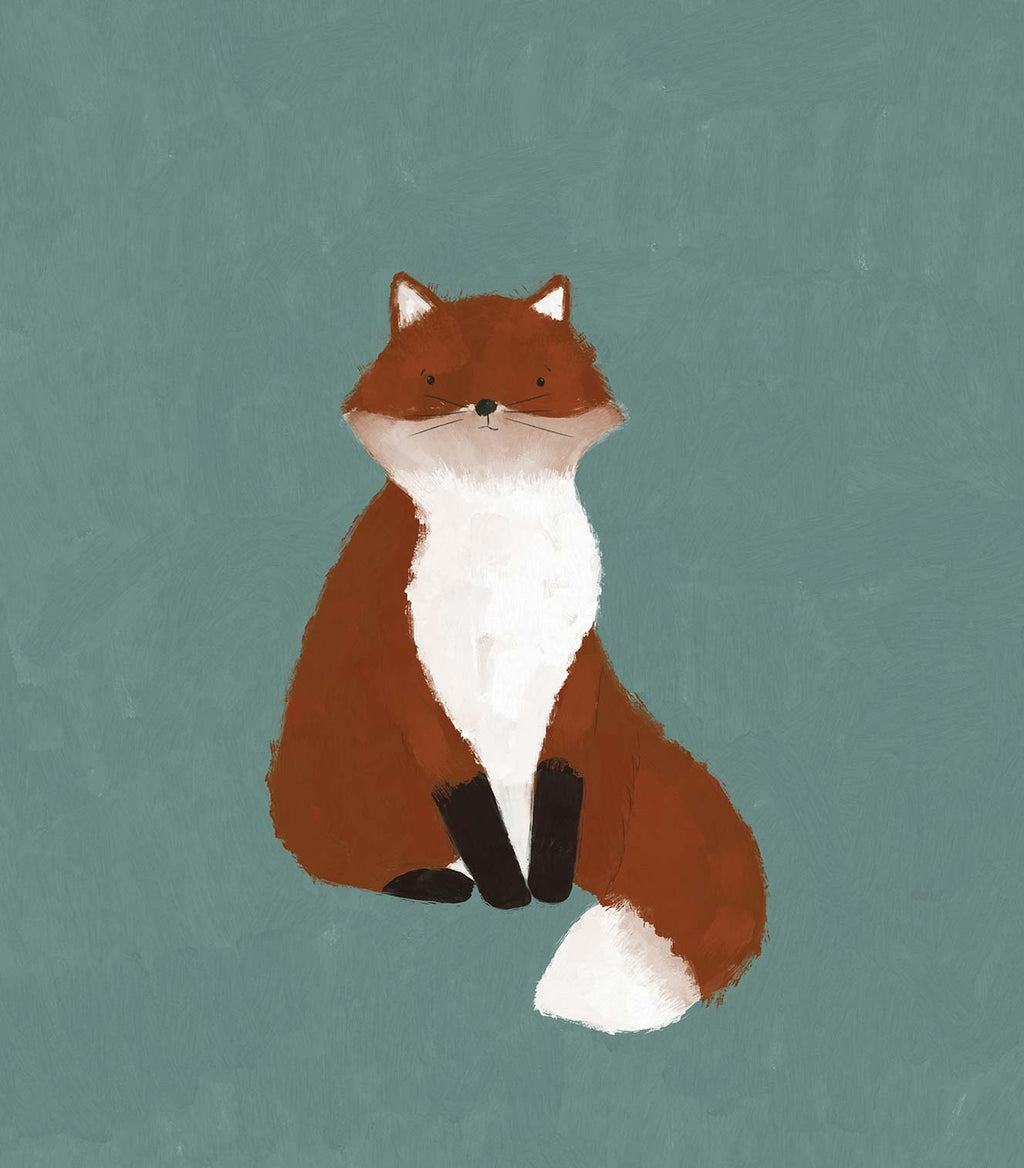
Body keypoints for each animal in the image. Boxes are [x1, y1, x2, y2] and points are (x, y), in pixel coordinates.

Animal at [266, 272, 767, 1033]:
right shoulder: (407, 674)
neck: (499, 546)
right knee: (355, 862)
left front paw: (546, 889)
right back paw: (439, 882)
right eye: (434, 378)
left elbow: (559, 790)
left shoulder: (574, 671)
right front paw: (509, 892)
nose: (484, 405)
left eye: (535, 379)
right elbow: (470, 802)